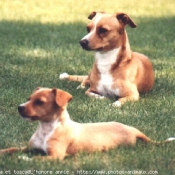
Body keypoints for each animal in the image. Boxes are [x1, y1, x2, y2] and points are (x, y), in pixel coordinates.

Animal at [0, 87, 174, 160]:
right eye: (29, 98)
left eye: (39, 102)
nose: (19, 107)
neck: (47, 129)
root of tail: (132, 129)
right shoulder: (29, 148)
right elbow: (12, 149)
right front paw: (3, 152)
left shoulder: (55, 156)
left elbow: (37, 159)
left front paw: (23, 159)